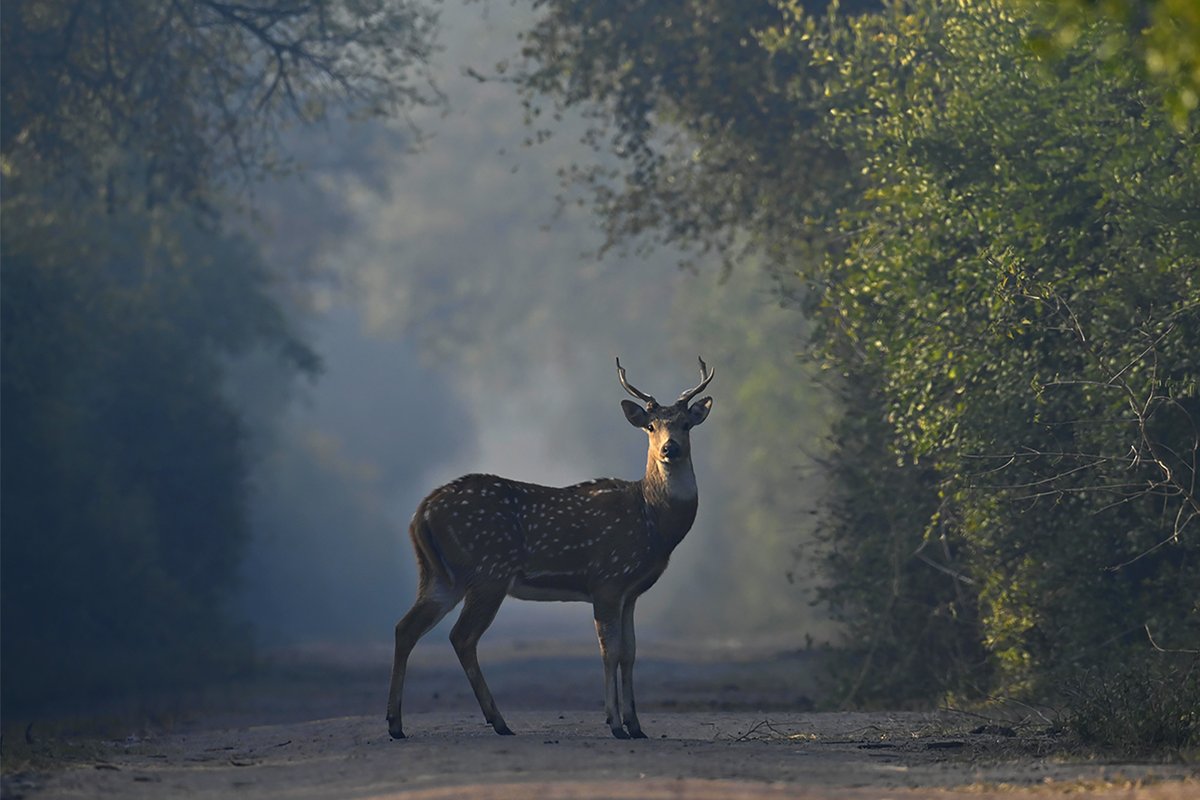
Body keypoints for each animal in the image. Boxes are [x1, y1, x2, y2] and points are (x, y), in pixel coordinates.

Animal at [388, 359, 715, 743]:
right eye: (651, 426)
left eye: (684, 424)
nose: (670, 449)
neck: (652, 522)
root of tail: (421, 512)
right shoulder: (607, 578)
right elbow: (610, 650)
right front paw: (615, 724)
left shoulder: (630, 592)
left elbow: (631, 653)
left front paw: (636, 725)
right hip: (489, 571)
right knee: (462, 636)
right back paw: (499, 721)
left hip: (441, 575)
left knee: (406, 627)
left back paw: (396, 724)